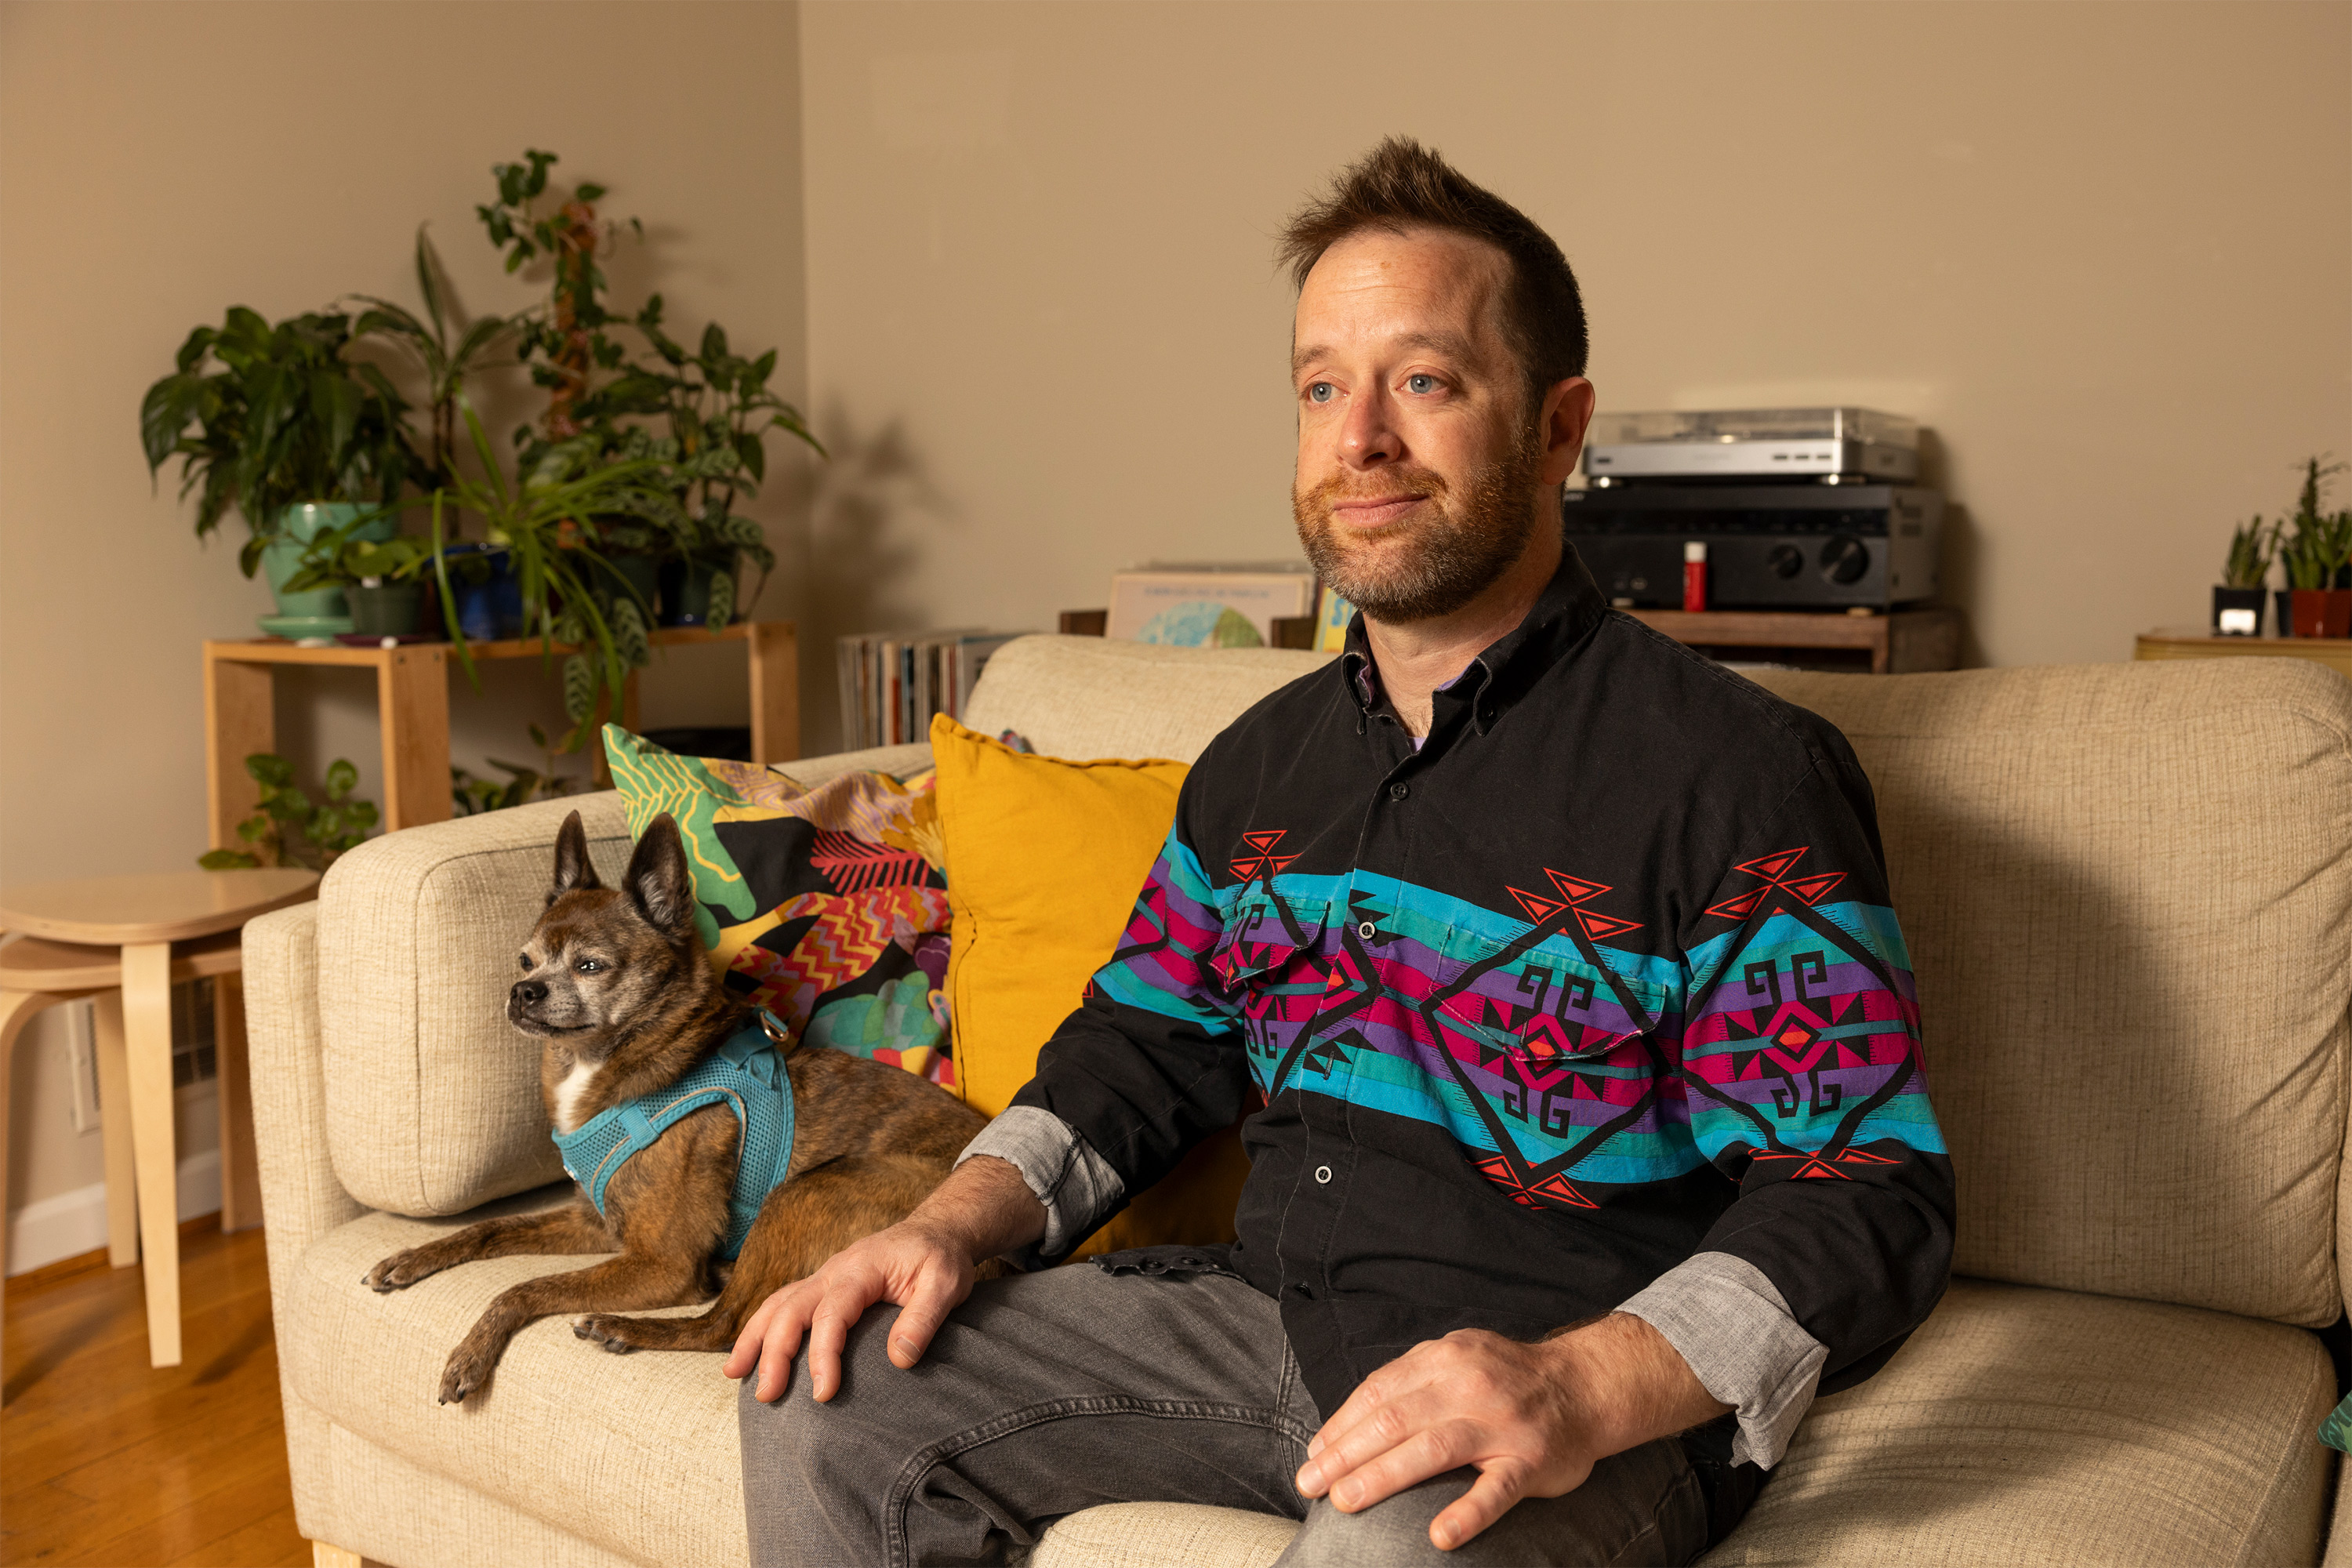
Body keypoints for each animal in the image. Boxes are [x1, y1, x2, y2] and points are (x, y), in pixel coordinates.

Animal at [362, 818, 988, 1401]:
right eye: (524, 961)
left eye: (590, 966)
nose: (523, 992)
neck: (607, 1063)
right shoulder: (596, 1224)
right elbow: (489, 1228)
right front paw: (413, 1257)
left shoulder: (661, 1265)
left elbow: (527, 1287)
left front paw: (471, 1351)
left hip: (805, 1193)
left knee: (725, 1327)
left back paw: (623, 1327)